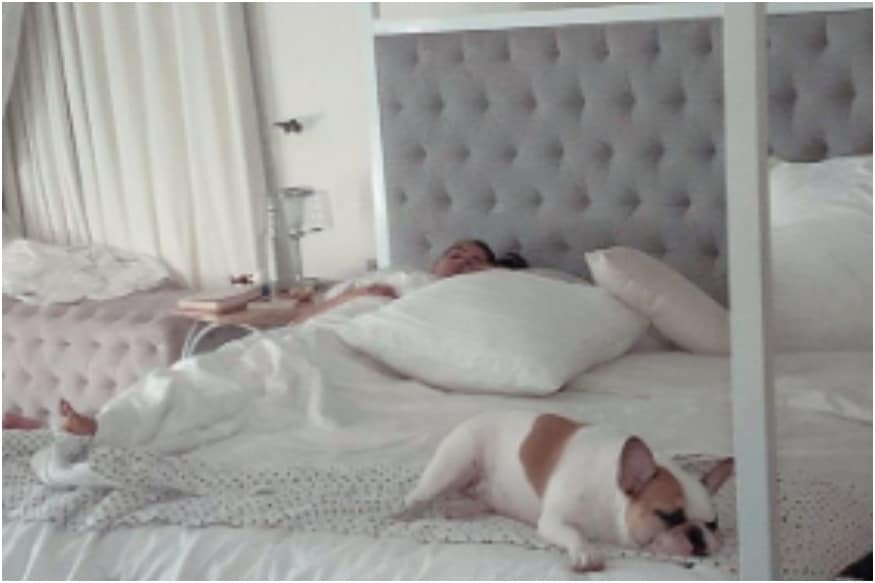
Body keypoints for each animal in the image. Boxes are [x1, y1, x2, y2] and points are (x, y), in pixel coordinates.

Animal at [404, 411, 734, 572]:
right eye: (669, 516)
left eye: (713, 524)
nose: (699, 535)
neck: (612, 497)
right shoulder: (553, 521)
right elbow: (573, 534)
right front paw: (586, 552)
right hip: (455, 461)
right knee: (419, 494)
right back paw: (406, 512)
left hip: (482, 491)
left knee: (480, 501)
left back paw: (456, 508)